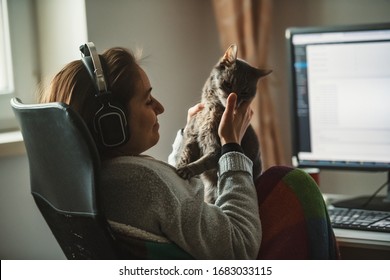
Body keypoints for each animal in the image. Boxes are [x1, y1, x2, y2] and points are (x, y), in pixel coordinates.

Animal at [175, 43, 270, 202]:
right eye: (228, 84)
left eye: (244, 92)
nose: (233, 98)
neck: (211, 110)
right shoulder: (192, 138)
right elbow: (185, 154)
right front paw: (179, 166)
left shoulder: (216, 149)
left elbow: (202, 162)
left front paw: (186, 169)